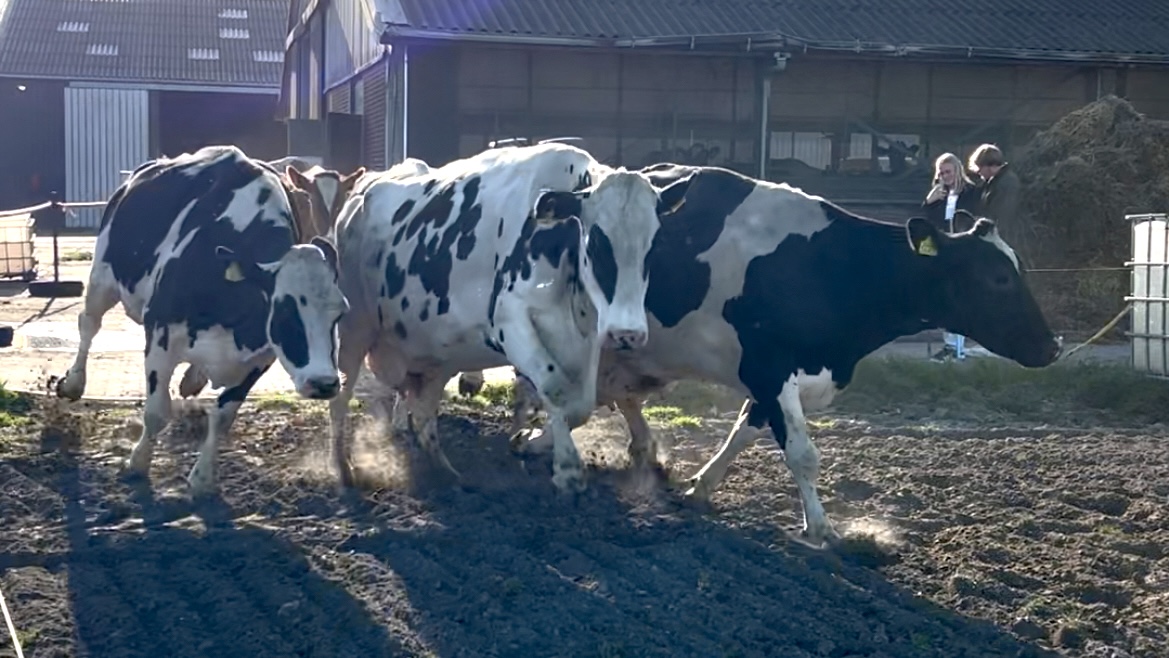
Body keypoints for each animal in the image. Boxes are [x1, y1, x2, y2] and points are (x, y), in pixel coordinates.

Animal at [53, 145, 349, 497]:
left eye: (340, 312)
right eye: (285, 311)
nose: (325, 383)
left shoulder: (260, 358)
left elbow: (222, 417)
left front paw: (203, 478)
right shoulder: (161, 334)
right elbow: (156, 411)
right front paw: (138, 463)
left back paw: (193, 379)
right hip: (102, 276)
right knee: (89, 324)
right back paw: (74, 382)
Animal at [328, 143, 693, 493]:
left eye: (652, 246)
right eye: (597, 243)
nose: (627, 333)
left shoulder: (585, 336)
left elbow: (580, 404)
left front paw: (532, 443)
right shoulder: (511, 323)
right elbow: (557, 390)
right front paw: (567, 470)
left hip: (436, 354)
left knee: (423, 413)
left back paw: (444, 472)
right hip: (353, 331)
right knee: (342, 396)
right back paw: (343, 469)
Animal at [509, 163, 1061, 546]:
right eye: (998, 277)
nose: (1053, 346)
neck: (828, 266)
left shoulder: (773, 378)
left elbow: (743, 432)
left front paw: (700, 487)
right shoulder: (769, 366)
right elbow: (802, 453)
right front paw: (821, 530)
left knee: (615, 397)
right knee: (563, 392)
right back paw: (540, 440)